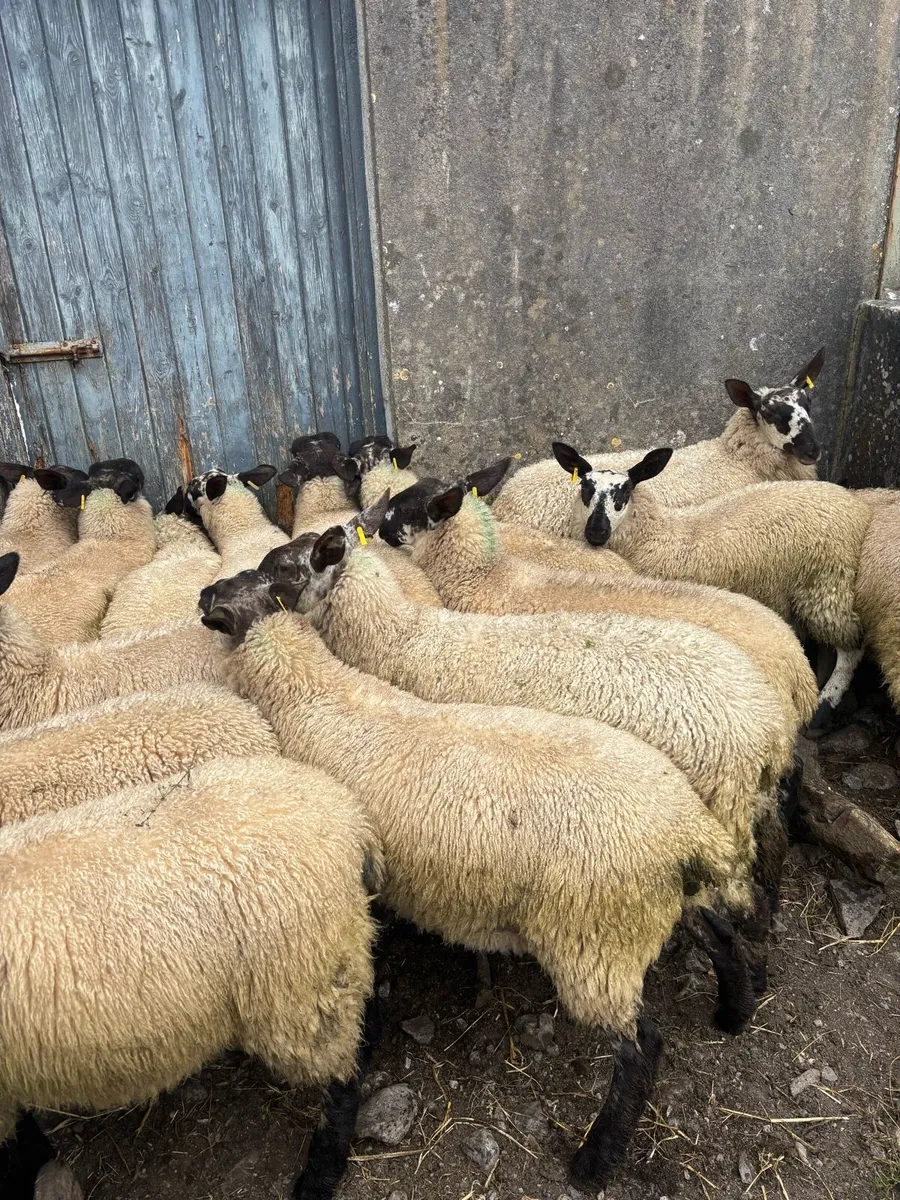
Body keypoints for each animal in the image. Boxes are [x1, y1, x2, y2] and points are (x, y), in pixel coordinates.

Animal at [202, 582, 752, 1191]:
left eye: (239, 586)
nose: (202, 594)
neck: (319, 696)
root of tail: (688, 833)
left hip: (594, 944)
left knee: (641, 1048)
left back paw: (593, 1162)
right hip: (655, 910)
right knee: (722, 935)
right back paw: (735, 1012)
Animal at [551, 442, 871, 726]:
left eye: (625, 491)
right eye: (585, 487)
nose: (596, 531)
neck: (656, 537)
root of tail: (855, 505)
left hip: (827, 582)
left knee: (852, 647)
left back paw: (825, 705)